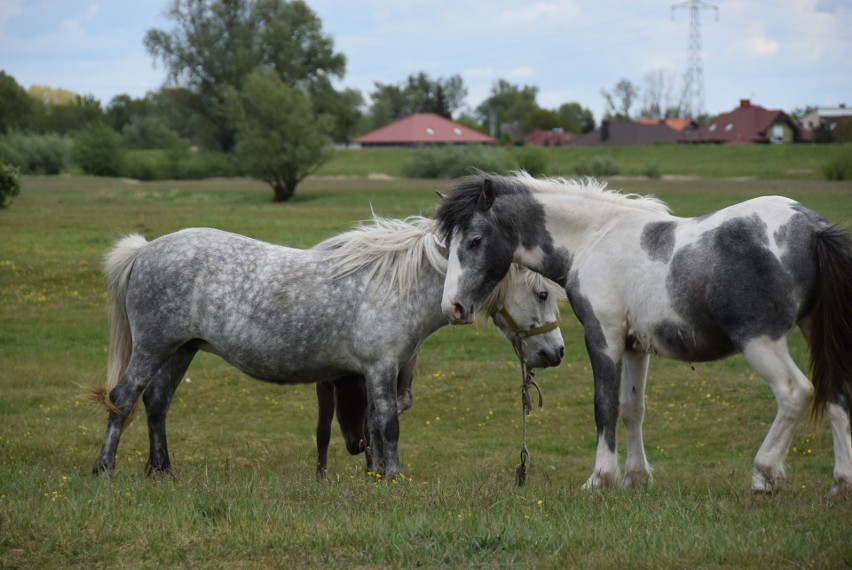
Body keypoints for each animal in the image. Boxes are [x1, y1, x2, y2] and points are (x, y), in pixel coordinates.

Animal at [91, 214, 564, 480]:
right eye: (543, 293)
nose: (556, 353)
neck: (399, 285)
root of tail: (144, 251)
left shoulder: (372, 374)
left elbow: (374, 428)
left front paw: (376, 476)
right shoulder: (380, 369)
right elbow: (388, 426)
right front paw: (394, 479)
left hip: (181, 350)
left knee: (156, 403)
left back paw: (163, 471)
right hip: (153, 348)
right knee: (123, 398)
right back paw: (104, 469)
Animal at [436, 172, 852, 492]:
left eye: (474, 240)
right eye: (448, 244)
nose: (452, 307)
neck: (592, 237)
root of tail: (814, 228)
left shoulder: (603, 338)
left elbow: (604, 407)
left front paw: (600, 479)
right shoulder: (635, 346)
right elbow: (632, 409)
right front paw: (635, 478)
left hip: (761, 342)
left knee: (795, 392)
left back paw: (765, 474)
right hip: (815, 333)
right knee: (836, 397)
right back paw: (840, 484)